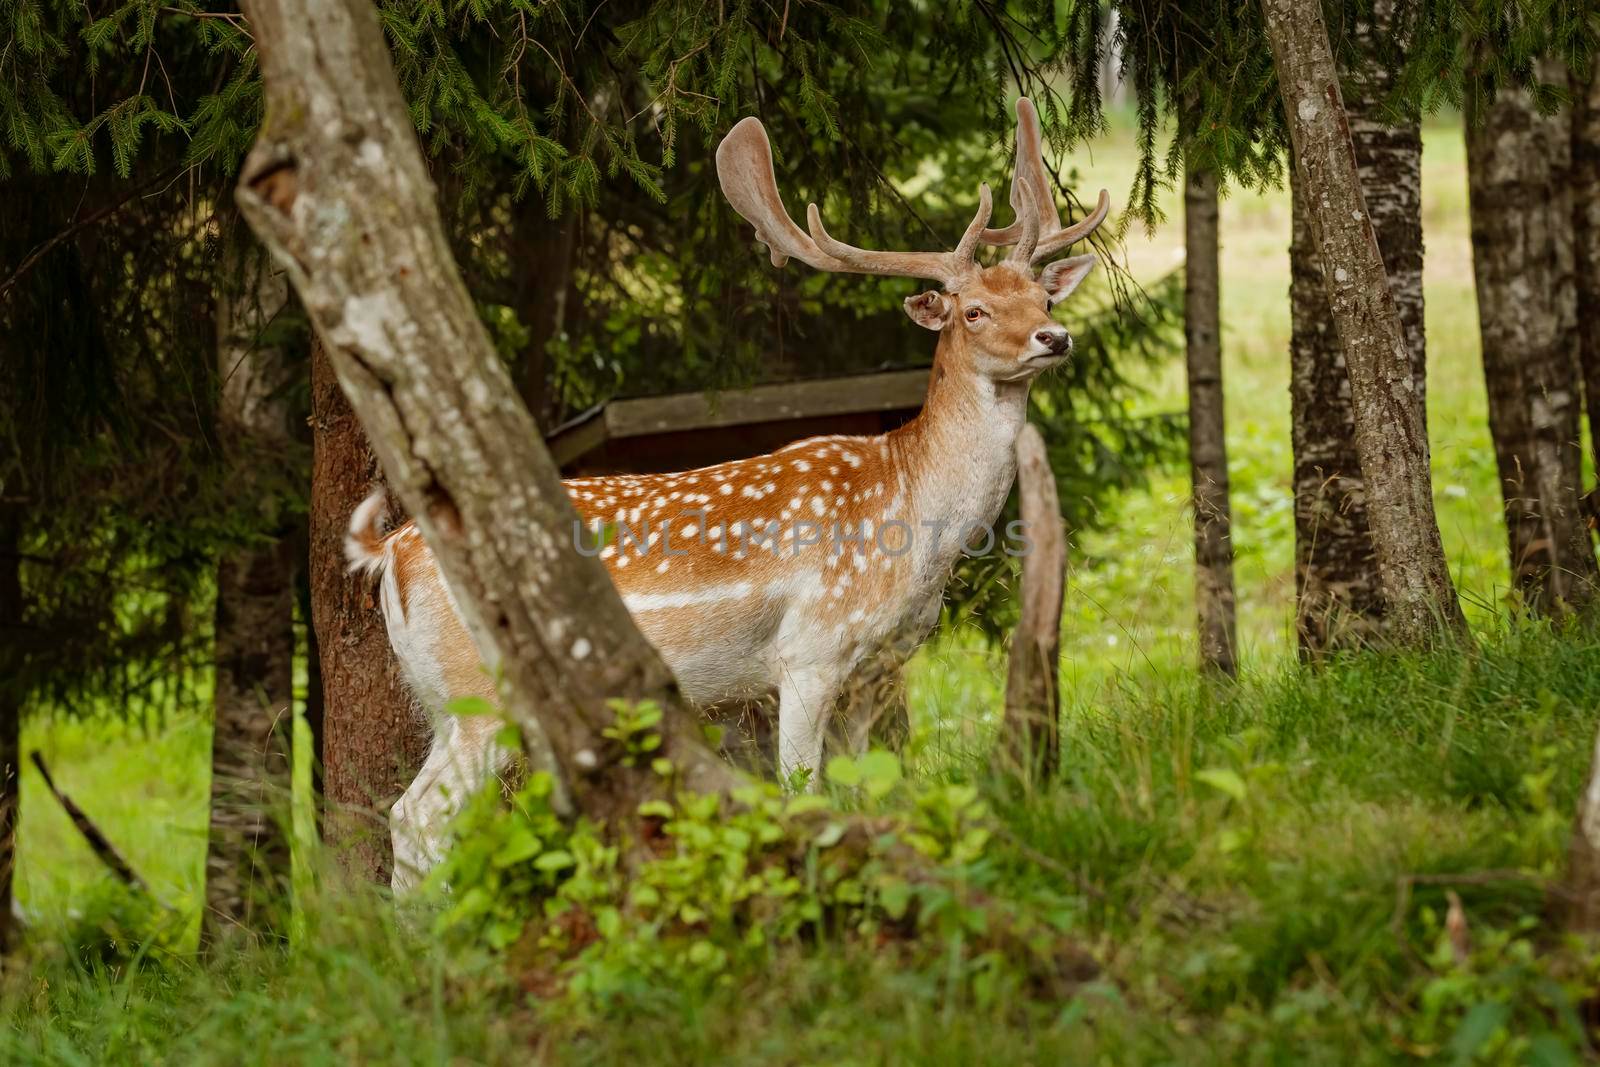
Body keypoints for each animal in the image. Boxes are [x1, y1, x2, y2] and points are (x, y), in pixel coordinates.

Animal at [344, 99, 1107, 889]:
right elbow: (803, 790)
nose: (1055, 337)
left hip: (446, 700)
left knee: (414, 816)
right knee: (420, 817)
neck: (912, 517)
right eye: (974, 311)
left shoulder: (878, 666)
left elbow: (862, 790)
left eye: (1042, 295)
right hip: (486, 693)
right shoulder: (808, 651)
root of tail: (389, 553)